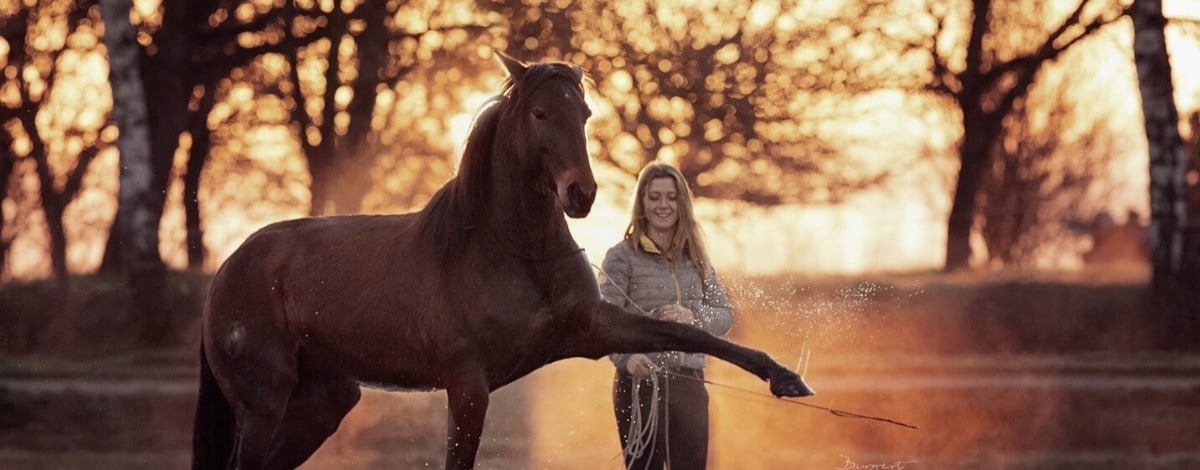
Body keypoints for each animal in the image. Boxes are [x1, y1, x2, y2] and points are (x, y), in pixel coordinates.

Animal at [192, 52, 816, 470]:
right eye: (538, 113)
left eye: (584, 112)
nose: (581, 194)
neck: (509, 253)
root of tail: (227, 271)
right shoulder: (468, 387)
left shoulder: (592, 329)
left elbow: (690, 334)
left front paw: (786, 378)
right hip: (265, 400)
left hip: (321, 402)